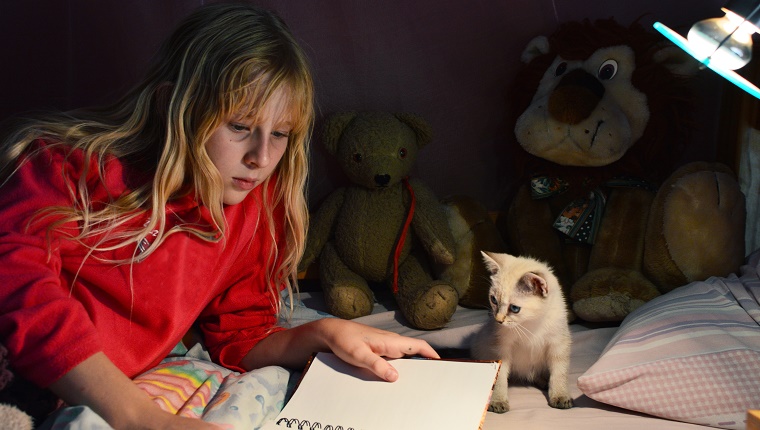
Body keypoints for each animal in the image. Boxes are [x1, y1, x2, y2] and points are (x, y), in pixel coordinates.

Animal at [470, 252, 568, 414]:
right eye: (493, 300)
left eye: (514, 308)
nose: (498, 320)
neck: (529, 324)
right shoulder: (500, 347)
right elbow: (501, 377)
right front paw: (498, 400)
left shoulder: (558, 343)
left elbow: (559, 372)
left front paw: (560, 395)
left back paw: (543, 381)